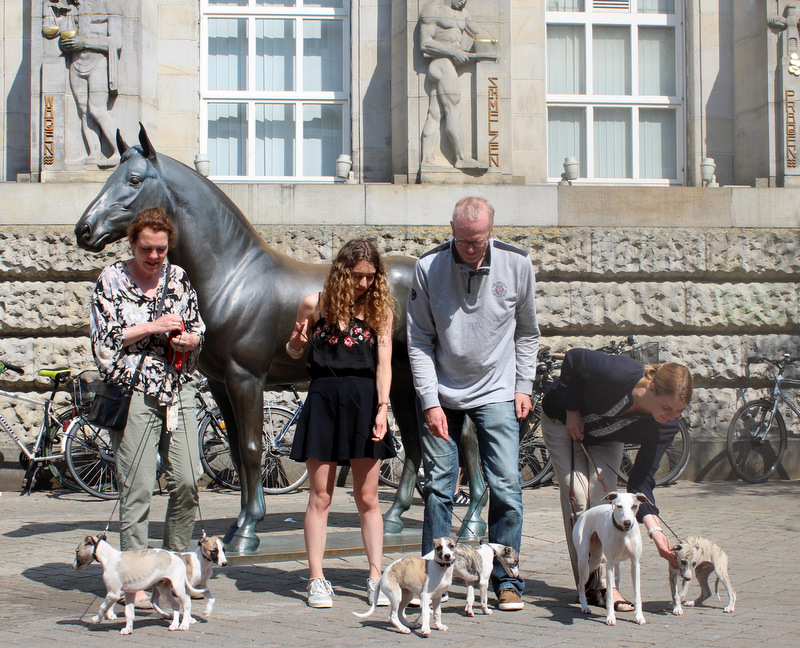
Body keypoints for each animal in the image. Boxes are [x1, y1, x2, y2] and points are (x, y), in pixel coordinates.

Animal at [572, 494, 648, 624]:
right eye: (619, 506)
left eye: (634, 506)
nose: (627, 523)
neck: (623, 533)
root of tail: (583, 514)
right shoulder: (610, 564)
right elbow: (610, 595)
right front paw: (611, 617)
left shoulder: (635, 563)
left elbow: (637, 593)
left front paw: (639, 617)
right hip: (583, 560)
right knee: (581, 583)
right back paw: (585, 606)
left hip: (596, 559)